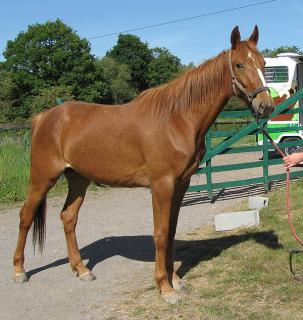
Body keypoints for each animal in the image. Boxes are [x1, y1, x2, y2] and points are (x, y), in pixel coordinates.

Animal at [13, 26, 276, 304]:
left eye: (263, 63)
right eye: (239, 64)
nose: (266, 105)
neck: (176, 119)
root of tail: (44, 117)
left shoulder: (180, 185)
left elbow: (171, 232)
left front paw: (175, 280)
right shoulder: (161, 185)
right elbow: (160, 233)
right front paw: (165, 288)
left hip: (77, 179)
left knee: (68, 217)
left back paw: (82, 270)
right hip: (42, 178)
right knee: (26, 216)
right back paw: (19, 271)